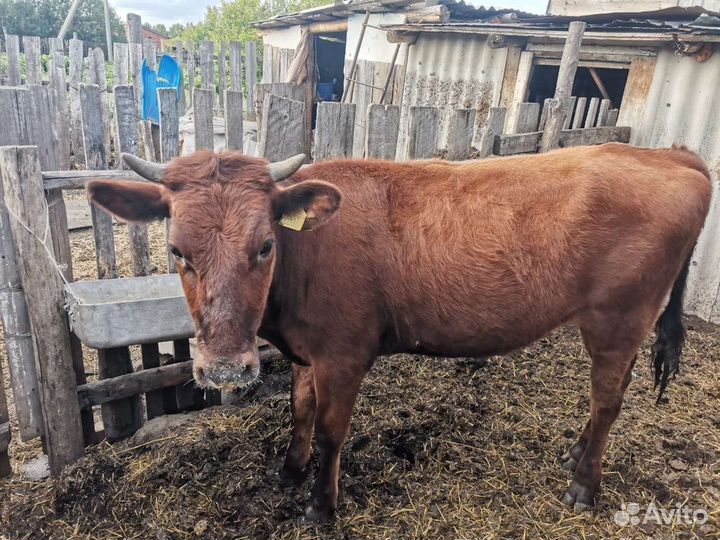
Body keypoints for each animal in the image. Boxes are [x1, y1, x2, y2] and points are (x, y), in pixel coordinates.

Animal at [87, 143, 711, 522]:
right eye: (177, 251)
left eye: (264, 245)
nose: (221, 369)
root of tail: (670, 155)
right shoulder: (307, 353)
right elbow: (299, 409)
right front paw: (289, 472)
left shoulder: (344, 353)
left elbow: (333, 431)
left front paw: (322, 505)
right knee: (614, 391)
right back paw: (575, 453)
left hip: (620, 315)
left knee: (608, 399)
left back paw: (584, 485)